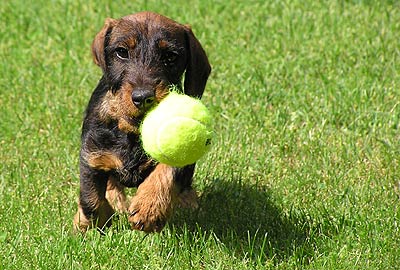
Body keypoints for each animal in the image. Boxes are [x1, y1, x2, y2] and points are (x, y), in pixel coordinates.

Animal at [73, 11, 211, 233]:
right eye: (121, 52)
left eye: (170, 56)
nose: (143, 97)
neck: (131, 132)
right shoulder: (91, 155)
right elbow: (90, 199)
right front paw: (88, 225)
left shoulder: (180, 156)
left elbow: (168, 169)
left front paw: (149, 207)